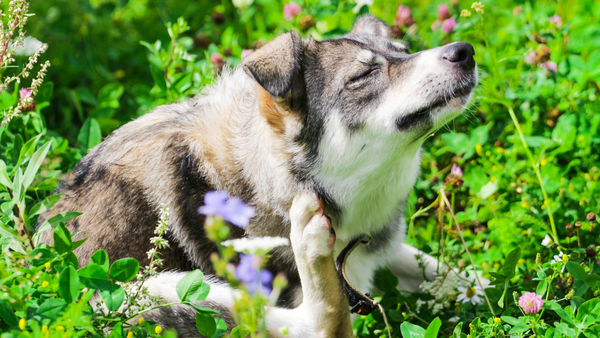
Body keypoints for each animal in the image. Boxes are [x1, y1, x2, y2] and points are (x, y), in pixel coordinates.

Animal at [38, 14, 478, 336]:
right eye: (362, 77)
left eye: (405, 51)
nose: (465, 51)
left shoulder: (377, 253)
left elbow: (455, 275)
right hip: (148, 292)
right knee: (318, 325)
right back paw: (310, 243)